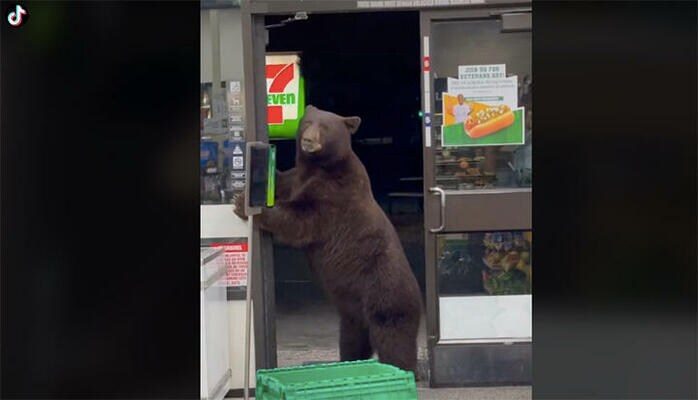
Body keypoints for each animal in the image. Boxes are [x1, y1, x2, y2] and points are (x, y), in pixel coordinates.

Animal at [234, 105, 422, 374]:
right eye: (307, 122)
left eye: (325, 127)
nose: (308, 140)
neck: (319, 166)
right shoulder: (298, 179)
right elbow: (284, 180)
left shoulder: (334, 194)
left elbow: (301, 219)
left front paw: (244, 204)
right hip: (353, 313)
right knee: (352, 339)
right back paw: (348, 362)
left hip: (386, 294)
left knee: (393, 339)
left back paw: (402, 370)